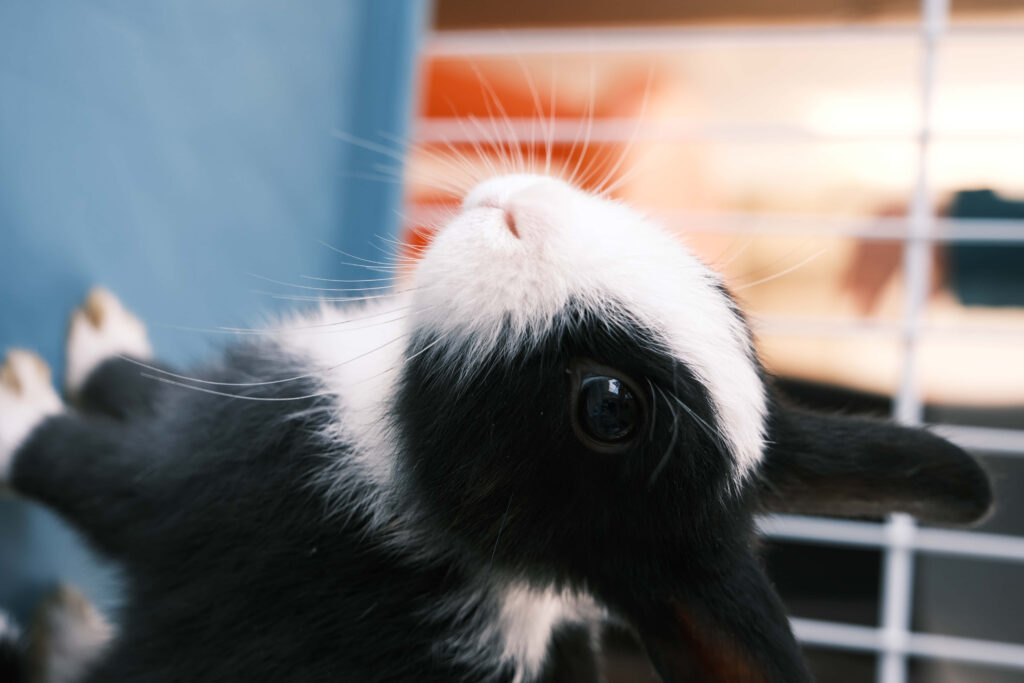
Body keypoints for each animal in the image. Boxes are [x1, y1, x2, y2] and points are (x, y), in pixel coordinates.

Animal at [0, 173, 992, 682]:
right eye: (721, 292)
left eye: (609, 407)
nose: (520, 211)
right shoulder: (209, 404)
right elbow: (138, 383)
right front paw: (103, 333)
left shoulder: (188, 496)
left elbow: (74, 462)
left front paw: (17, 396)